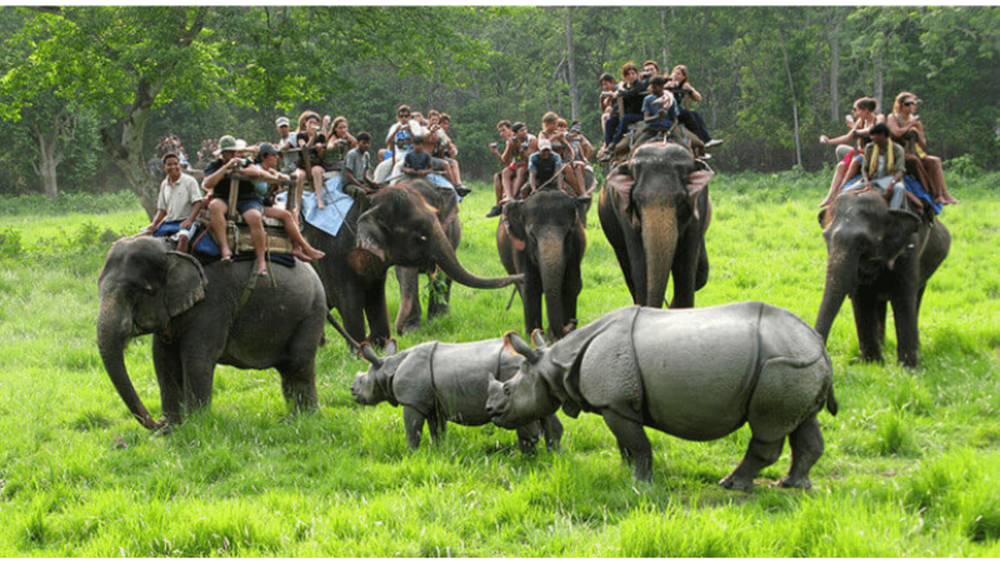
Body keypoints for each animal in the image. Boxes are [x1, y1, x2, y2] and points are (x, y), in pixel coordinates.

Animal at [352, 338, 563, 453]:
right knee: (543, 412)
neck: (389, 367)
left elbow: (413, 431)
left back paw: (524, 461)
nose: (352, 390)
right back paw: (553, 457)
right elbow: (437, 430)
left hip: (513, 371)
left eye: (363, 381)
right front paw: (439, 452)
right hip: (533, 378)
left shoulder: (412, 402)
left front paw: (410, 454)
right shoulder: (433, 403)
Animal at [485, 302, 837, 490]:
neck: (554, 365)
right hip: (797, 365)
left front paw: (641, 483)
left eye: (508, 389)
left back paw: (731, 484)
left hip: (779, 366)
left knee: (767, 428)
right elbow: (625, 444)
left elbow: (638, 444)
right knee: (803, 421)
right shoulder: (618, 406)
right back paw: (792, 485)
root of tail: (817, 344)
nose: (492, 412)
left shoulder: (614, 403)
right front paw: (627, 473)